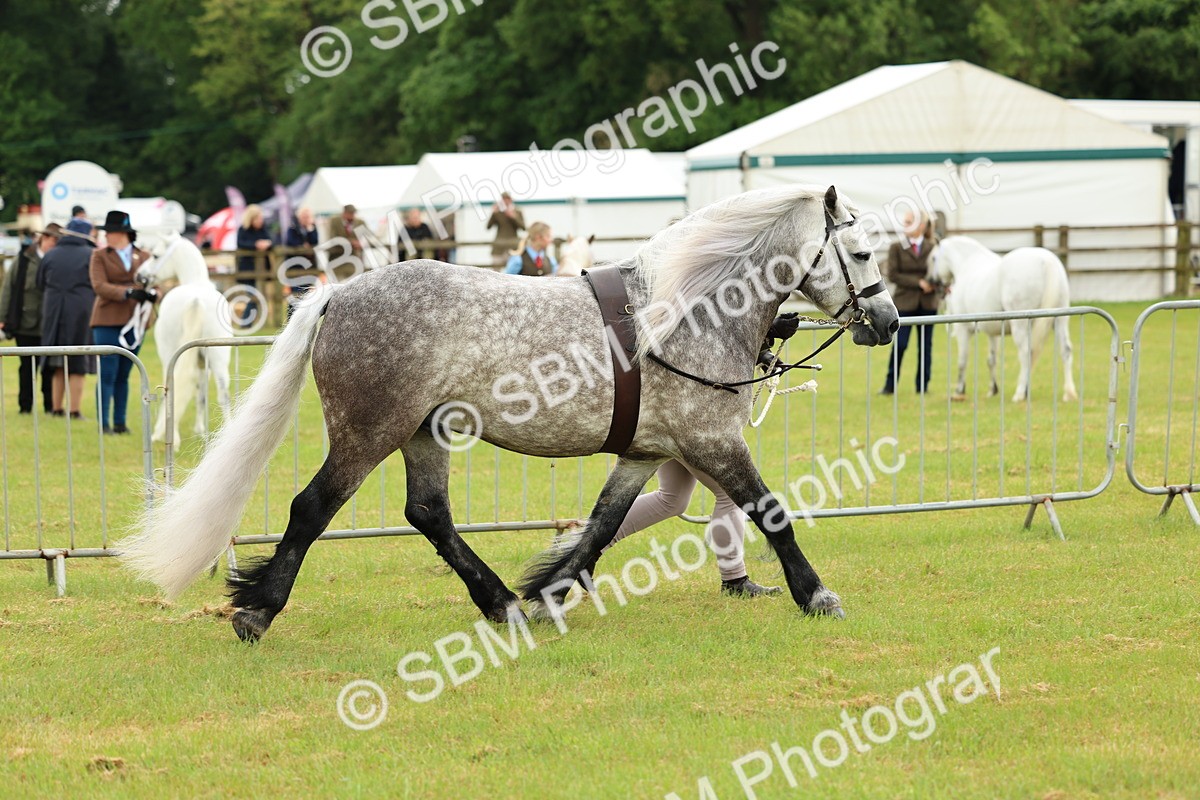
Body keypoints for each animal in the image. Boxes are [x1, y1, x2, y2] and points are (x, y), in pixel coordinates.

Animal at [136, 231, 233, 443]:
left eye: (155, 255)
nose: (139, 275)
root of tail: (195, 300)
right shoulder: (203, 362)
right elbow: (201, 393)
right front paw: (201, 431)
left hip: (170, 356)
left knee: (171, 389)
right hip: (219, 358)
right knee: (224, 394)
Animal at [929, 236, 1077, 403]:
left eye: (933, 258)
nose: (932, 282)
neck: (967, 264)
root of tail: (1047, 261)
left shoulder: (963, 329)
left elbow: (962, 360)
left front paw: (958, 391)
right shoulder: (992, 332)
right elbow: (991, 360)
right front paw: (992, 389)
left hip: (1020, 325)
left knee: (1026, 353)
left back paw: (1020, 393)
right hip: (1060, 321)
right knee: (1065, 350)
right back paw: (1068, 393)